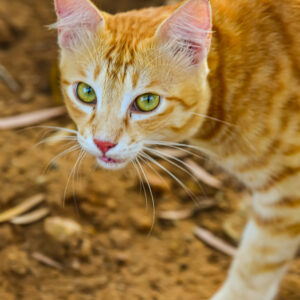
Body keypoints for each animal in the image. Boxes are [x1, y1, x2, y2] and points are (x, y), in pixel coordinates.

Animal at [52, 0, 300, 298]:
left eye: (147, 101)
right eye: (86, 92)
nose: (103, 143)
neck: (230, 82)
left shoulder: (288, 192)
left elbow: (256, 264)